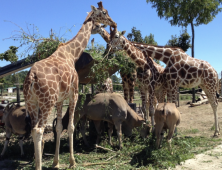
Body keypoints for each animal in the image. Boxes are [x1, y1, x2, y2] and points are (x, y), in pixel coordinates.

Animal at [22, 1, 117, 169]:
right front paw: (72, 162)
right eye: (104, 13)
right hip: (46, 102)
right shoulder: (74, 94)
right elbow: (72, 126)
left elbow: (59, 127)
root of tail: (31, 77)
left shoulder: (60, 100)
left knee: (33, 130)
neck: (72, 54)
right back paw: (39, 165)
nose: (112, 23)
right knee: (39, 130)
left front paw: (56, 162)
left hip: (32, 103)